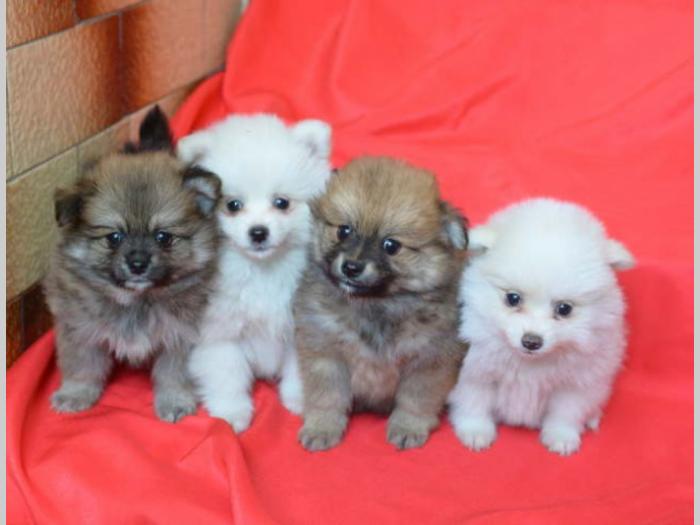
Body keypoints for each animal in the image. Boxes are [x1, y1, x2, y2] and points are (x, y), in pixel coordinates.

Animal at [44, 106, 222, 422]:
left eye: (163, 237)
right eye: (114, 237)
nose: (138, 263)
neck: (138, 301)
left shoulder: (181, 337)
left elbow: (173, 374)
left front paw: (174, 401)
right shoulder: (80, 330)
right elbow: (82, 367)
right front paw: (75, 394)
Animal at [176, 113, 333, 432]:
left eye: (281, 202)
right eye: (233, 205)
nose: (258, 232)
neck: (261, 272)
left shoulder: (296, 326)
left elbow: (299, 367)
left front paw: (300, 399)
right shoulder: (218, 332)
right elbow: (227, 374)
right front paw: (231, 413)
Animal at [294, 156, 469, 451]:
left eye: (391, 245)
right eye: (344, 230)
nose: (352, 267)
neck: (374, 304)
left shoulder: (429, 361)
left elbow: (415, 400)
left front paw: (408, 427)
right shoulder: (325, 352)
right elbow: (327, 396)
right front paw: (322, 427)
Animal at [448, 197, 635, 455]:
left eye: (564, 309)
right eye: (513, 298)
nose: (531, 341)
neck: (530, 363)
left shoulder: (577, 382)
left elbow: (566, 412)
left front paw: (561, 436)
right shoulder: (475, 371)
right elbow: (474, 401)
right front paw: (475, 432)